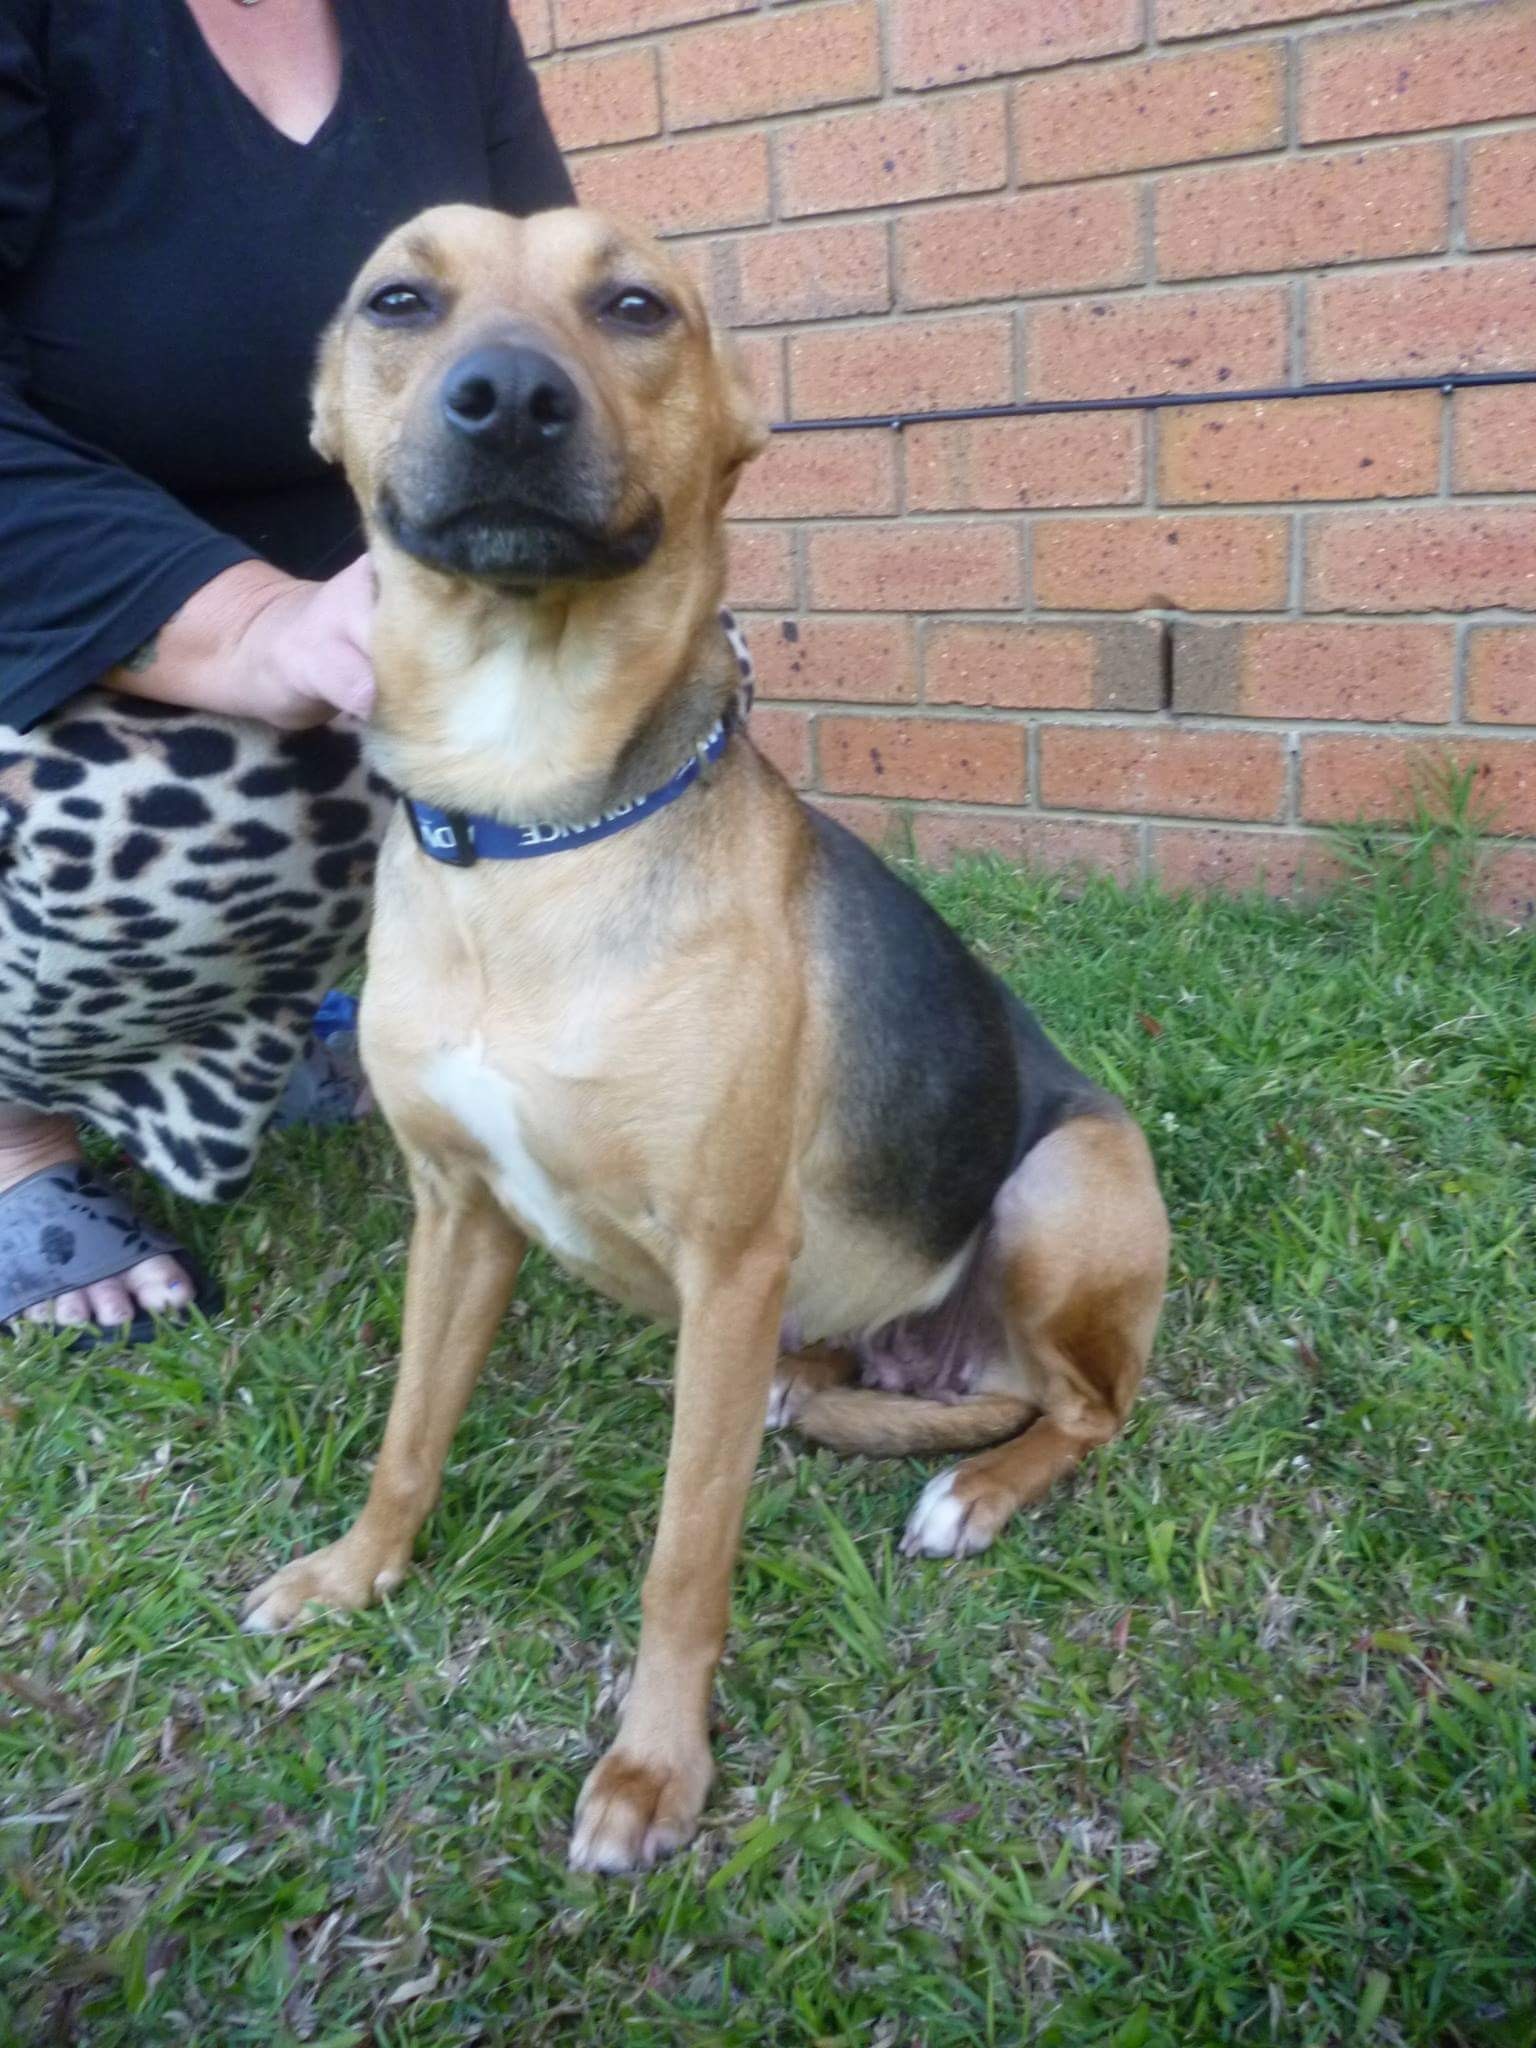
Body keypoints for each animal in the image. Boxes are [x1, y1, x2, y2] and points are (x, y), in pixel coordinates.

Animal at [246, 203, 1171, 1875]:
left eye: (635, 307)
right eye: (399, 300)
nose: (506, 400)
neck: (535, 825)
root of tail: (956, 1357)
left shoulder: (733, 1261)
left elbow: (684, 1557)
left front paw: (653, 1768)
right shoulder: (456, 1215)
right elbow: (408, 1433)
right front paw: (358, 1572)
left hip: (1058, 1192)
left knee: (1088, 1410)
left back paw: (979, 1490)